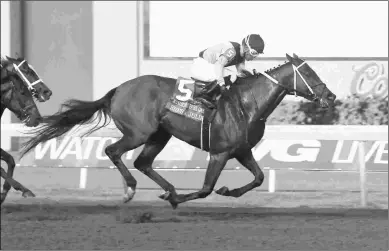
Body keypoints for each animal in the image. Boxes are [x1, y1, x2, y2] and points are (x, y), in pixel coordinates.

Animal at [19, 54, 334, 209]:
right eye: (309, 74)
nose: (330, 97)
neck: (247, 104)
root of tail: (117, 89)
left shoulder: (241, 150)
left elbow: (258, 178)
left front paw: (229, 191)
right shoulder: (220, 153)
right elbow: (206, 189)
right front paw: (179, 199)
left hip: (160, 135)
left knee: (143, 162)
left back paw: (166, 188)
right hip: (139, 133)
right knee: (113, 151)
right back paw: (132, 190)